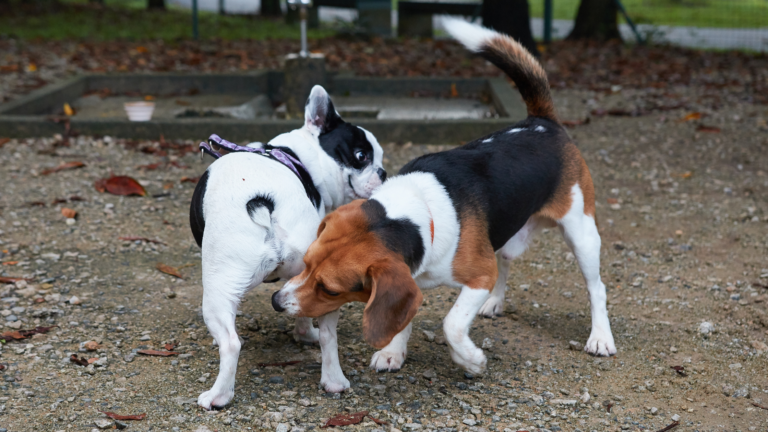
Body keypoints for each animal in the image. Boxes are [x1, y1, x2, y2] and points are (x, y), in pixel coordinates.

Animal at [190, 85, 388, 408]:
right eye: (361, 156)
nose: (383, 172)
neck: (302, 156)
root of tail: (265, 201)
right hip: (320, 278)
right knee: (328, 335)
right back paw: (333, 380)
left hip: (218, 284)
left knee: (231, 343)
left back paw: (217, 397)